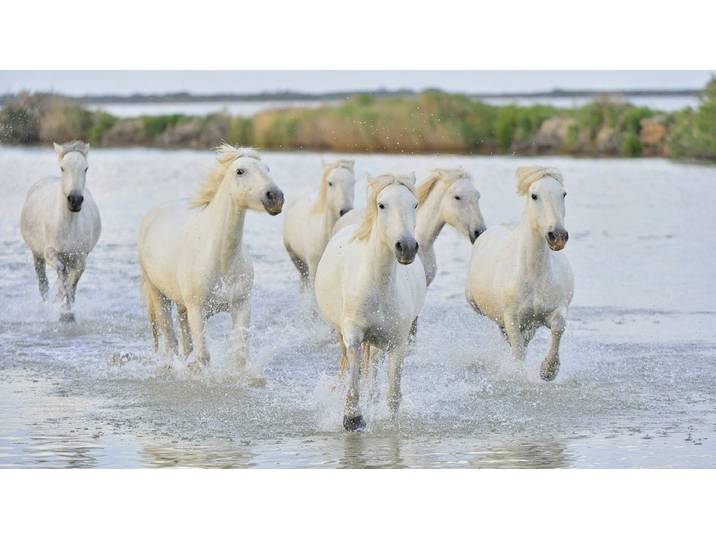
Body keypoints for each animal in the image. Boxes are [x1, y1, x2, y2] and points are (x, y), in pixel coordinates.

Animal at [20, 141, 102, 322]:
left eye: (86, 168)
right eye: (62, 168)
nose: (75, 200)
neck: (68, 225)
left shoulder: (80, 257)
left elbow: (72, 282)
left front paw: (67, 311)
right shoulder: (49, 252)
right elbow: (61, 273)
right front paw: (59, 305)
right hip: (37, 254)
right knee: (43, 283)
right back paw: (45, 306)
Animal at [137, 145, 284, 371]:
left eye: (267, 169)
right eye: (240, 171)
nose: (275, 197)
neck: (221, 260)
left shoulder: (241, 306)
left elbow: (240, 356)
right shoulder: (197, 311)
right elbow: (204, 356)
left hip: (182, 306)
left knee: (185, 342)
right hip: (158, 294)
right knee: (171, 341)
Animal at [314, 173, 426, 431]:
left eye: (415, 204)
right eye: (382, 204)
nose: (406, 247)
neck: (378, 286)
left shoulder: (397, 343)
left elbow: (393, 394)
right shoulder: (354, 335)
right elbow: (353, 385)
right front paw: (353, 419)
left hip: (379, 343)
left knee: (374, 371)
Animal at [465, 167, 574, 381]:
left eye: (563, 194)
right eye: (534, 196)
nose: (557, 236)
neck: (533, 275)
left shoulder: (554, 309)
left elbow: (558, 326)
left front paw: (548, 370)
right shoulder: (512, 319)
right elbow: (518, 352)